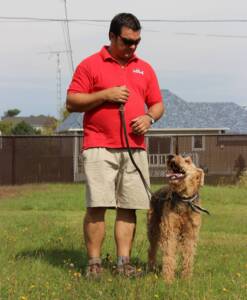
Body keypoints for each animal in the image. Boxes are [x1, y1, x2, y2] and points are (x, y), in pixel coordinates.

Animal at [148, 155, 206, 284]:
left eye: (188, 161)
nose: (170, 156)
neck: (184, 199)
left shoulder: (190, 233)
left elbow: (188, 255)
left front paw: (186, 278)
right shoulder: (169, 230)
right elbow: (169, 254)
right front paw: (168, 279)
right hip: (153, 229)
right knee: (152, 249)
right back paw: (151, 267)